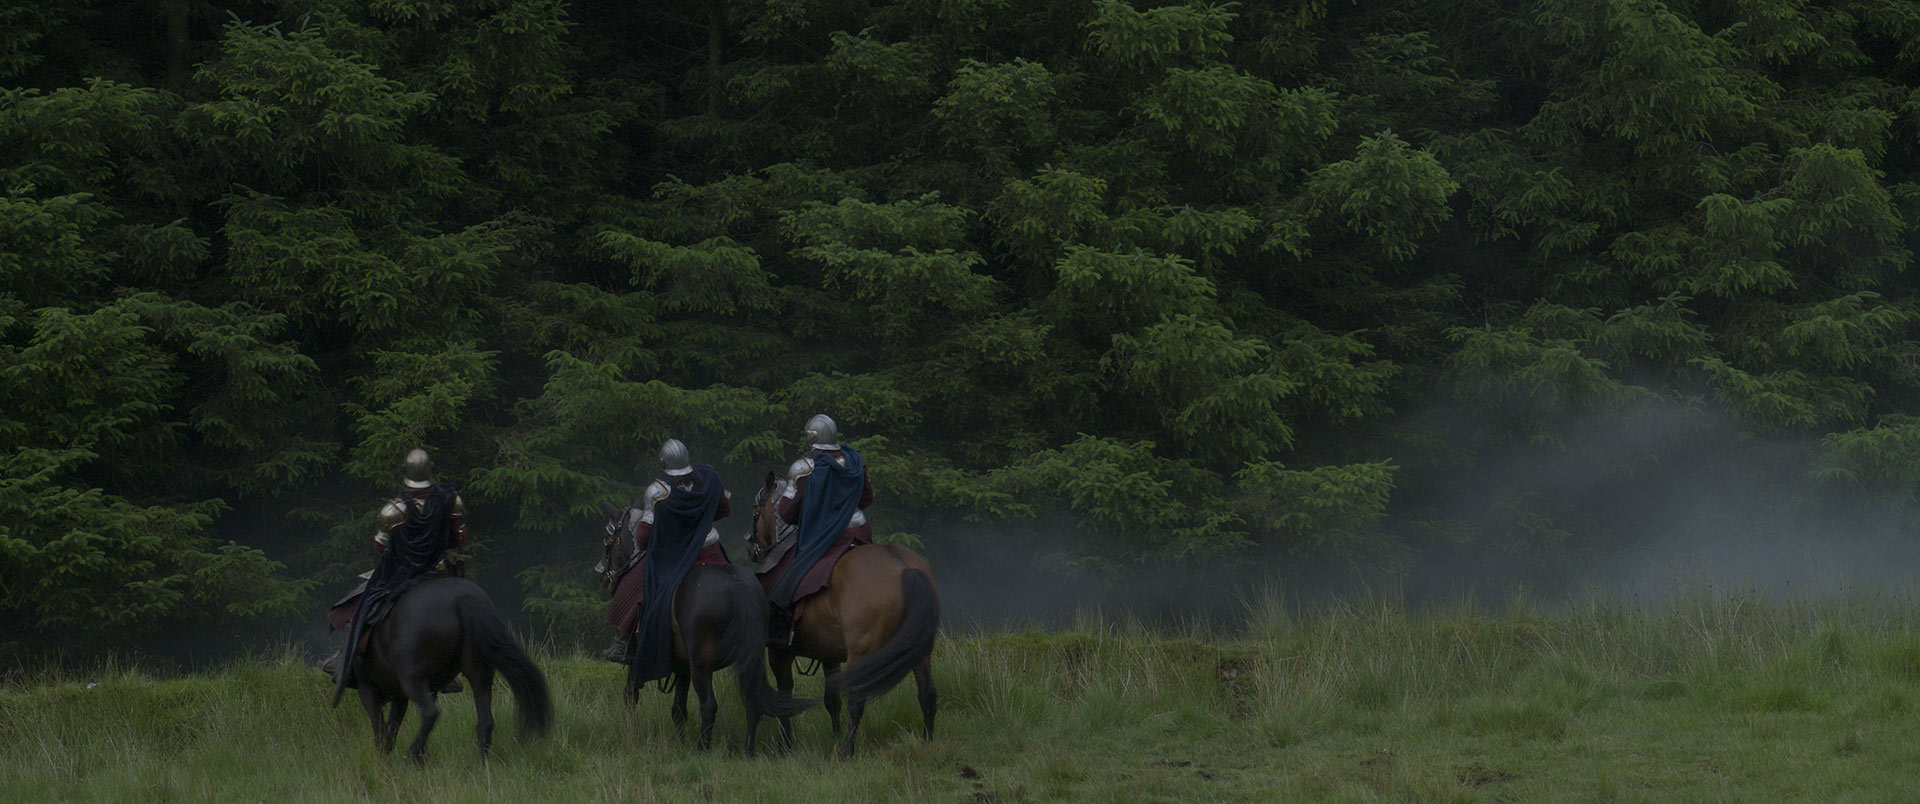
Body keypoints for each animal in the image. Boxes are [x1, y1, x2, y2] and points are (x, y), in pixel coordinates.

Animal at [345, 579, 552, 763]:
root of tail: (460, 598)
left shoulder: (368, 691)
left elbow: (379, 726)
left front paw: (383, 758)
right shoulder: (400, 696)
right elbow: (392, 726)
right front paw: (390, 755)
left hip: (412, 679)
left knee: (430, 713)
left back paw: (412, 754)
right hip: (479, 673)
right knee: (485, 719)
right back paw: (481, 761)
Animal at [595, 498, 814, 759]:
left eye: (608, 539)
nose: (602, 575)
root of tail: (739, 587)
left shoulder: (640, 660)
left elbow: (631, 695)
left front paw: (631, 731)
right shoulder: (681, 666)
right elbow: (678, 708)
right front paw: (679, 741)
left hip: (701, 665)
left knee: (708, 705)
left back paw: (703, 748)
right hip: (746, 659)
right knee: (752, 700)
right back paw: (747, 751)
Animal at [741, 477, 936, 763]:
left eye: (756, 510)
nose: (750, 544)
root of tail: (904, 567)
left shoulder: (779, 653)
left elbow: (785, 695)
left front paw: (785, 745)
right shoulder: (829, 654)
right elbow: (831, 699)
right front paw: (832, 734)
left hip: (862, 654)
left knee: (858, 700)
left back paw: (846, 751)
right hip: (921, 653)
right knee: (927, 695)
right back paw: (927, 744)